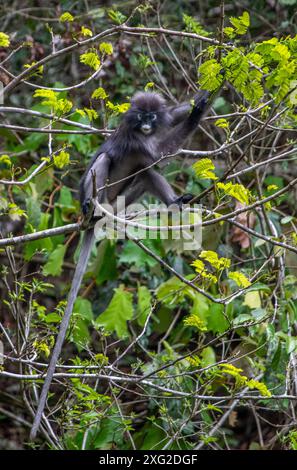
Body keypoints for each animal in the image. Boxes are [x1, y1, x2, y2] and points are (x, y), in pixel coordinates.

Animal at [30, 88, 209, 436]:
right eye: (140, 117)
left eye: (151, 116)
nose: (147, 124)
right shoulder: (136, 142)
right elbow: (161, 153)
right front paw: (196, 114)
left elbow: (166, 134)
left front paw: (202, 98)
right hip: (96, 190)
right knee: (108, 161)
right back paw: (90, 205)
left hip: (122, 198)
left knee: (147, 174)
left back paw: (170, 204)